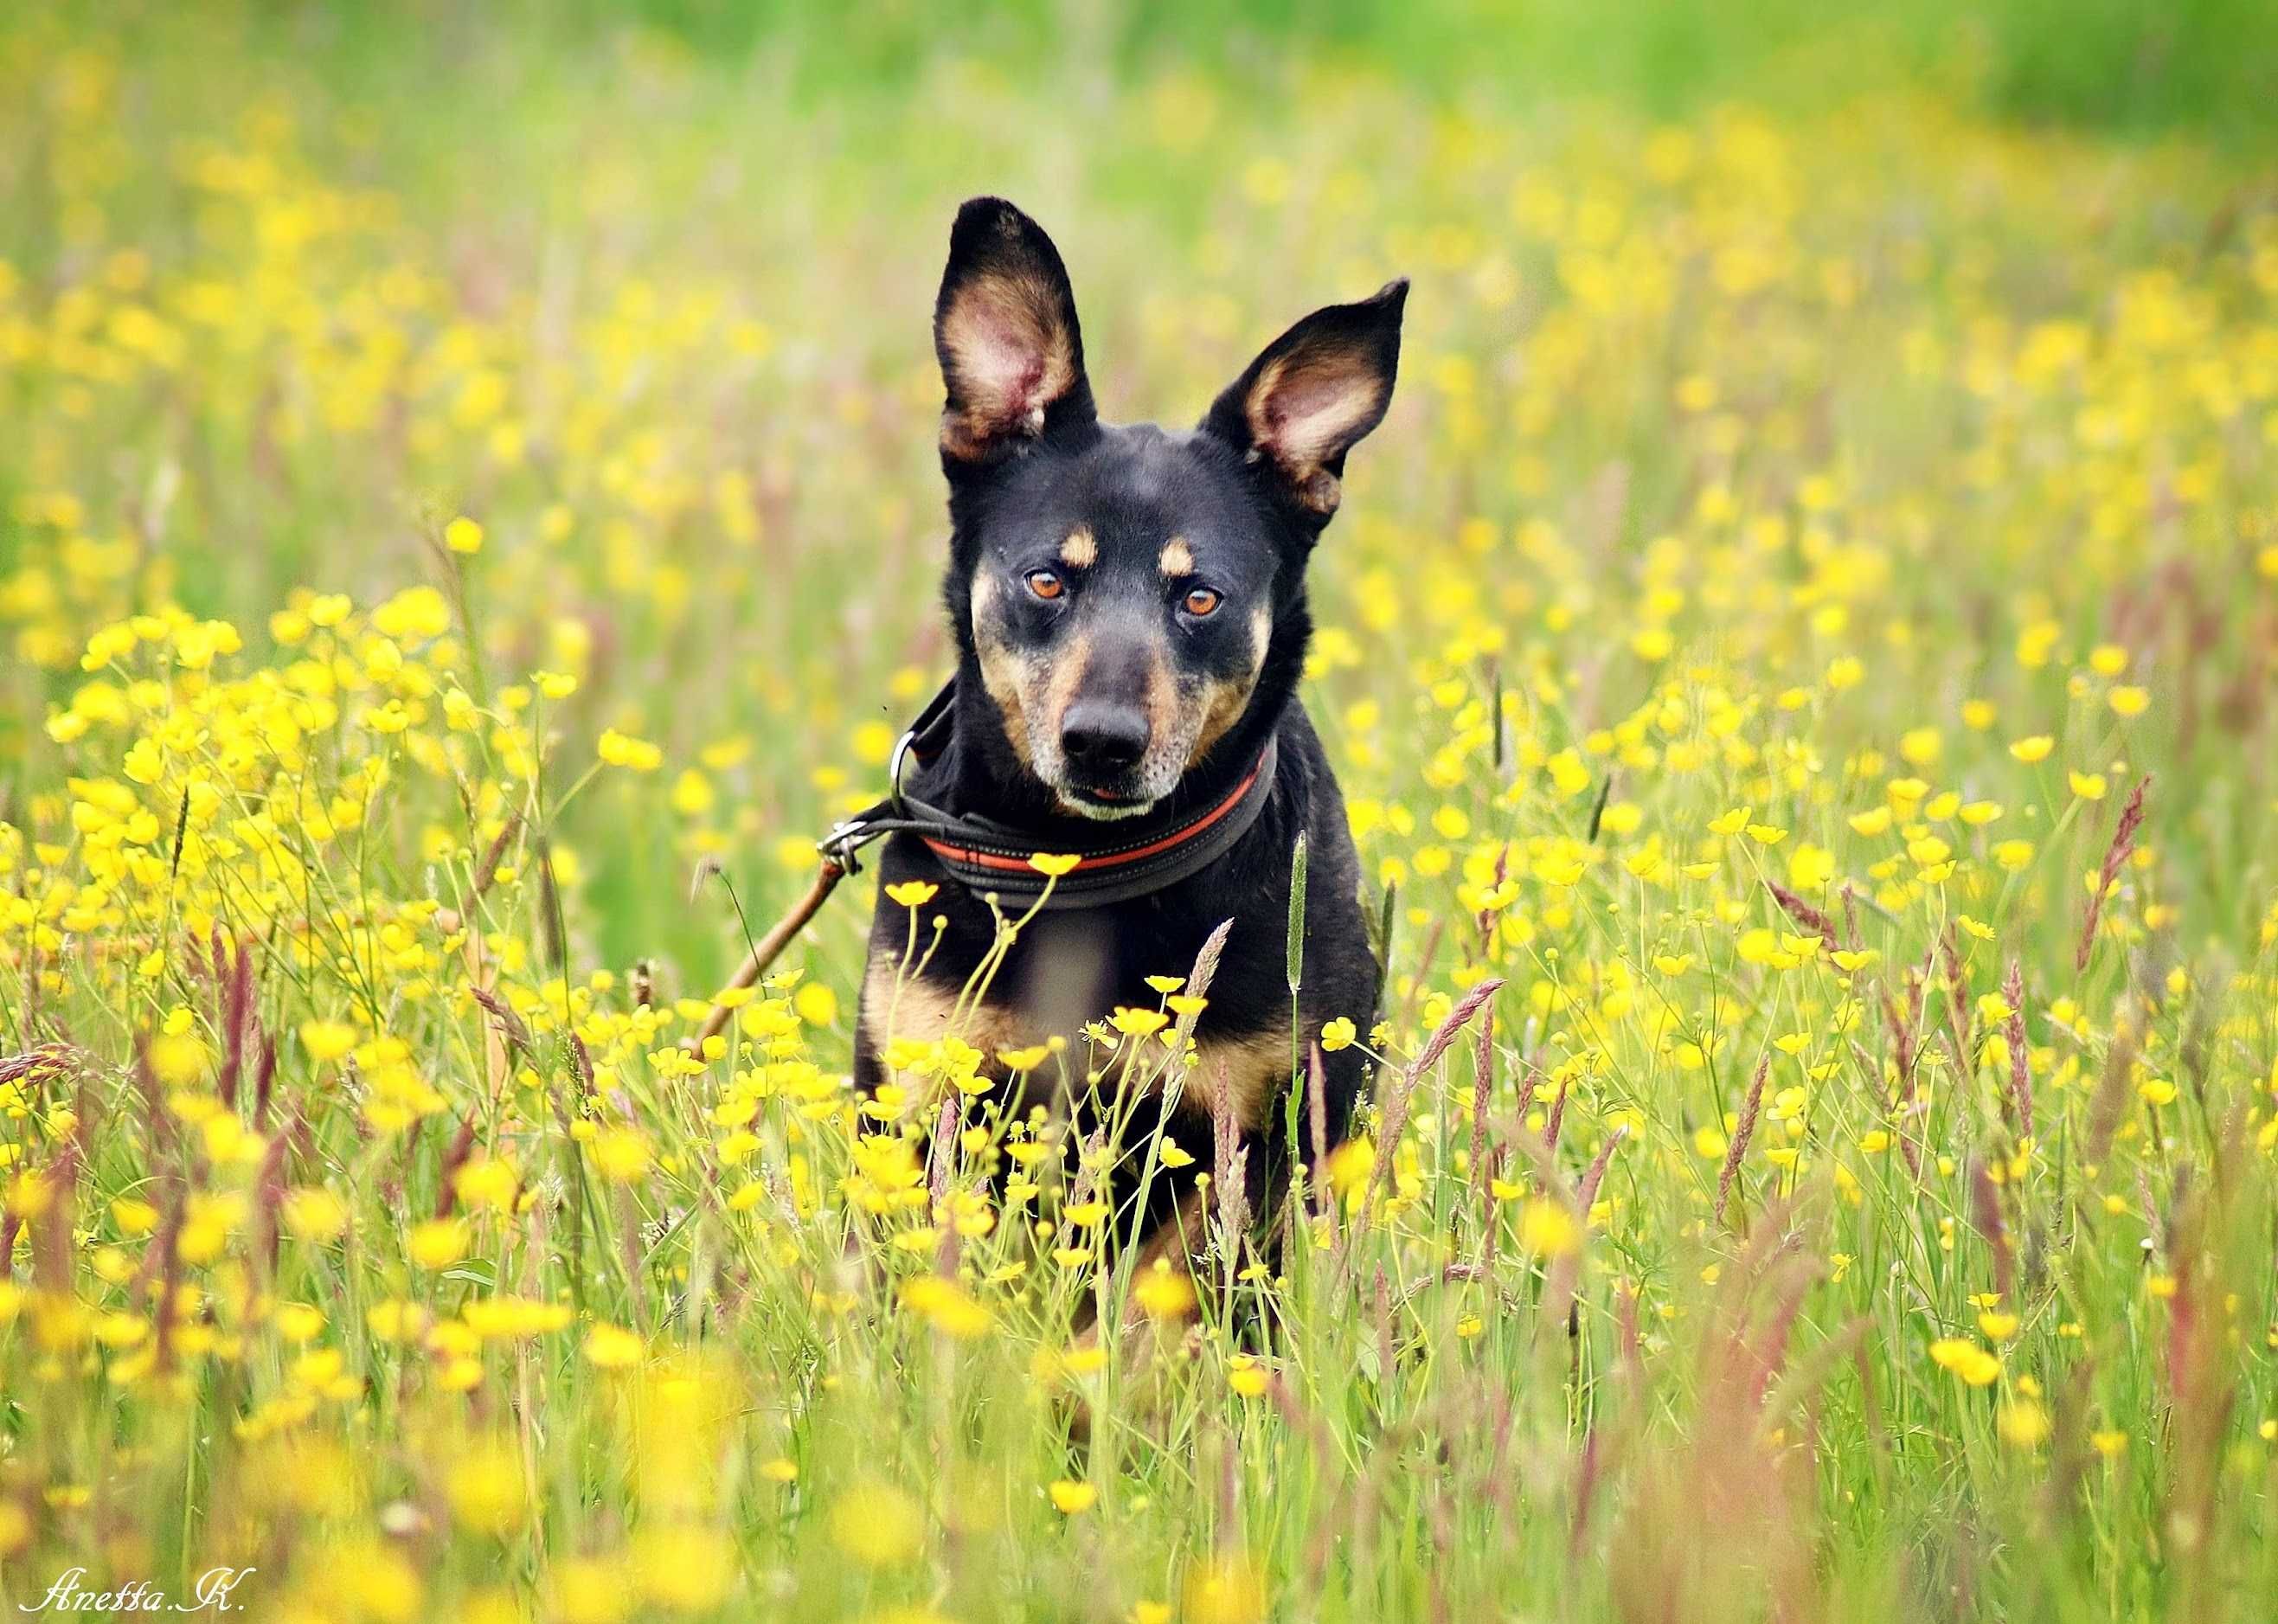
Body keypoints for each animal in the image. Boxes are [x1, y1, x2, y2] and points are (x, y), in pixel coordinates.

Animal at [857, 196, 1402, 1293]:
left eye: (1199, 598)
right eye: (1046, 579)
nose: (1101, 744)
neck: (1083, 869)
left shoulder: (1255, 1142)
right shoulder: (932, 1095)